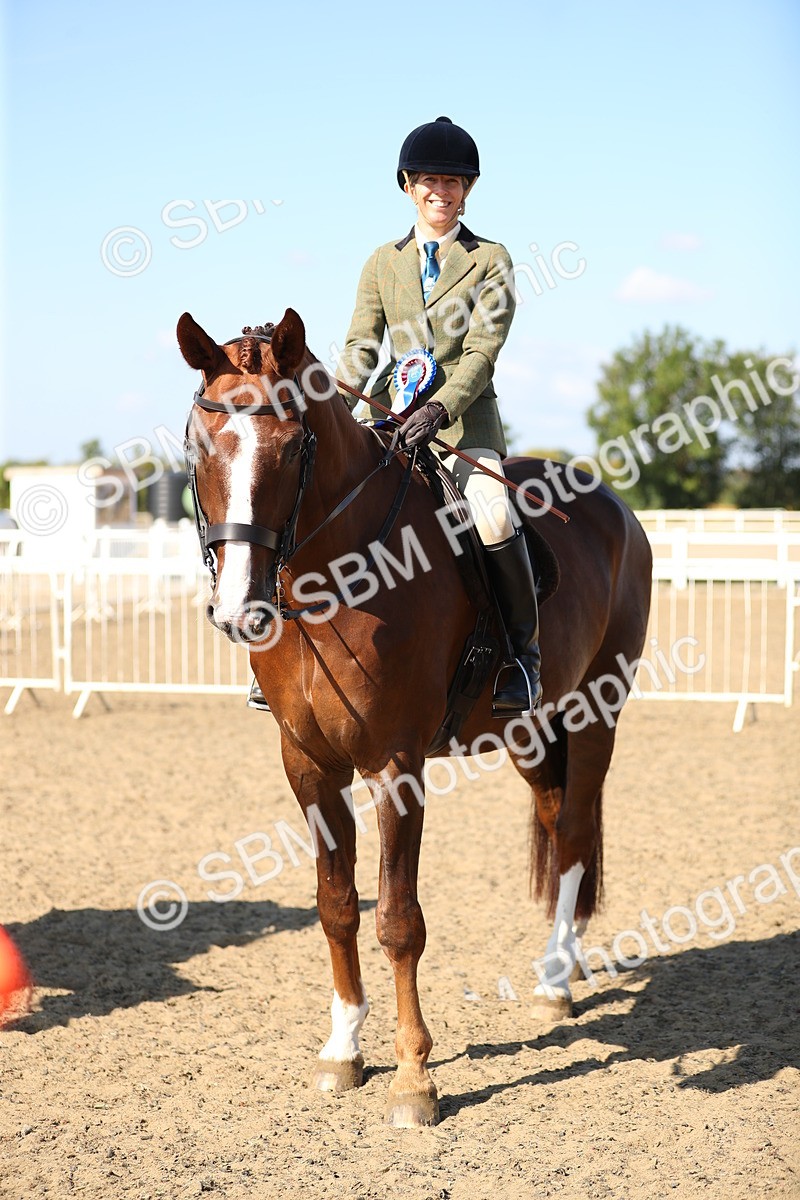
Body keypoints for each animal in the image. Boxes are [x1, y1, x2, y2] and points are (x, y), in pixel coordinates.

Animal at [176, 307, 653, 1128]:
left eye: (292, 445)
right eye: (199, 443)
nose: (240, 609)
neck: (336, 578)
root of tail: (613, 504)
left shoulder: (395, 766)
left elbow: (398, 919)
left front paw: (414, 1078)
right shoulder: (307, 764)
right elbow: (336, 905)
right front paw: (343, 1049)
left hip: (598, 711)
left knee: (575, 836)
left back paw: (555, 982)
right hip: (530, 728)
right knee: (555, 815)